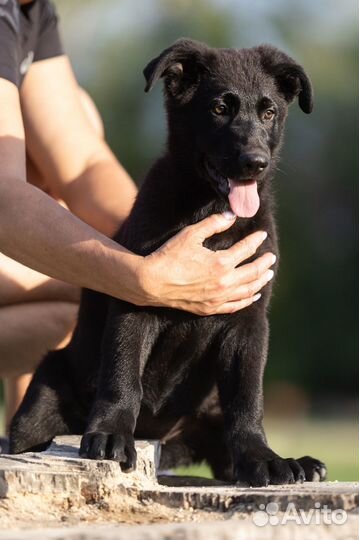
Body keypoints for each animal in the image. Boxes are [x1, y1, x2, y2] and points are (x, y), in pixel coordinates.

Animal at [10, 38, 326, 486]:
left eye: (269, 112)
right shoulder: (137, 298)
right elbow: (123, 376)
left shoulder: (249, 319)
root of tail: (161, 438)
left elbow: (248, 399)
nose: (255, 162)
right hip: (42, 401)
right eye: (219, 108)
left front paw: (262, 457)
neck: (210, 211)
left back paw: (295, 462)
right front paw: (111, 435)